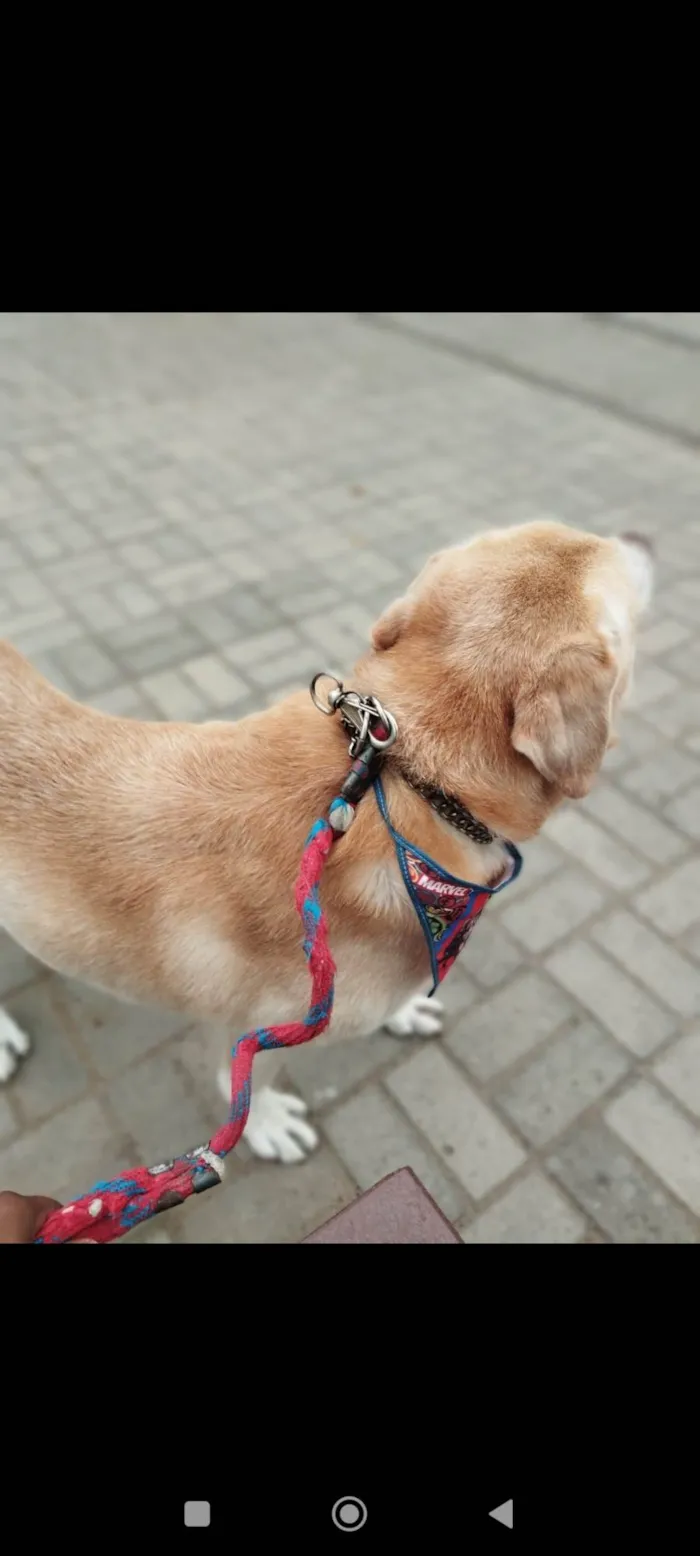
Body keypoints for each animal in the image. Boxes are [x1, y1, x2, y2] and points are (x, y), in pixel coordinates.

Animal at [0, 529, 653, 1163]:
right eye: (625, 595)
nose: (642, 536)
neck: (408, 778)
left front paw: (406, 1011)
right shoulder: (263, 1028)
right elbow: (241, 1087)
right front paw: (265, 1125)